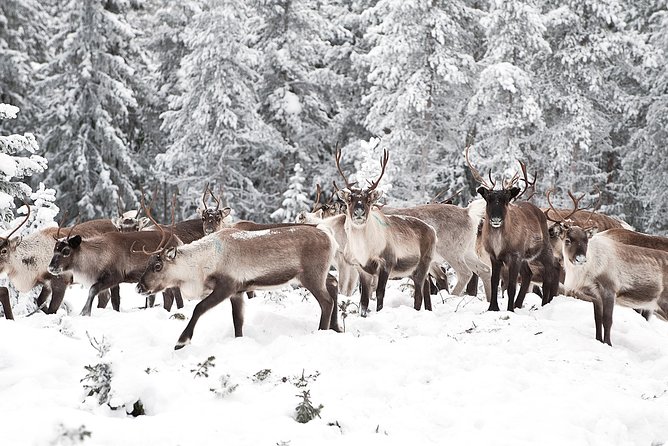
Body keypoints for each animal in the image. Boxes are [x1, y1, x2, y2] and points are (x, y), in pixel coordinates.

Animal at [136, 223, 341, 349]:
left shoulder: (227, 286)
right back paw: (337, 328)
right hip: (318, 275)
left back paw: (322, 331)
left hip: (312, 276)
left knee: (326, 301)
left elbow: (199, 308)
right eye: (147, 264)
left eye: (157, 266)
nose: (139, 287)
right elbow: (238, 320)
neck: (202, 264)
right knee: (333, 284)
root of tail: (329, 235)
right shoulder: (238, 292)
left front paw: (181, 342)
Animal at [334, 148, 438, 317]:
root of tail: (432, 230)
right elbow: (364, 299)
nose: (359, 212)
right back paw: (428, 310)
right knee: (427, 287)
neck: (365, 250)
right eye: (350, 199)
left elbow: (379, 293)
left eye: (368, 200)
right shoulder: (362, 269)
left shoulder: (386, 263)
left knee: (419, 294)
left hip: (424, 263)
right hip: (413, 270)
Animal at [466, 146, 560, 312]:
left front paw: (509, 309)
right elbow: (494, 282)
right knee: (528, 274)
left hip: (542, 249)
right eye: (488, 199)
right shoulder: (494, 257)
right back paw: (519, 304)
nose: (496, 219)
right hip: (526, 257)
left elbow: (511, 285)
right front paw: (493, 308)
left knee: (551, 270)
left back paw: (545, 303)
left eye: (506, 200)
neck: (500, 243)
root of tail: (540, 212)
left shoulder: (515, 255)